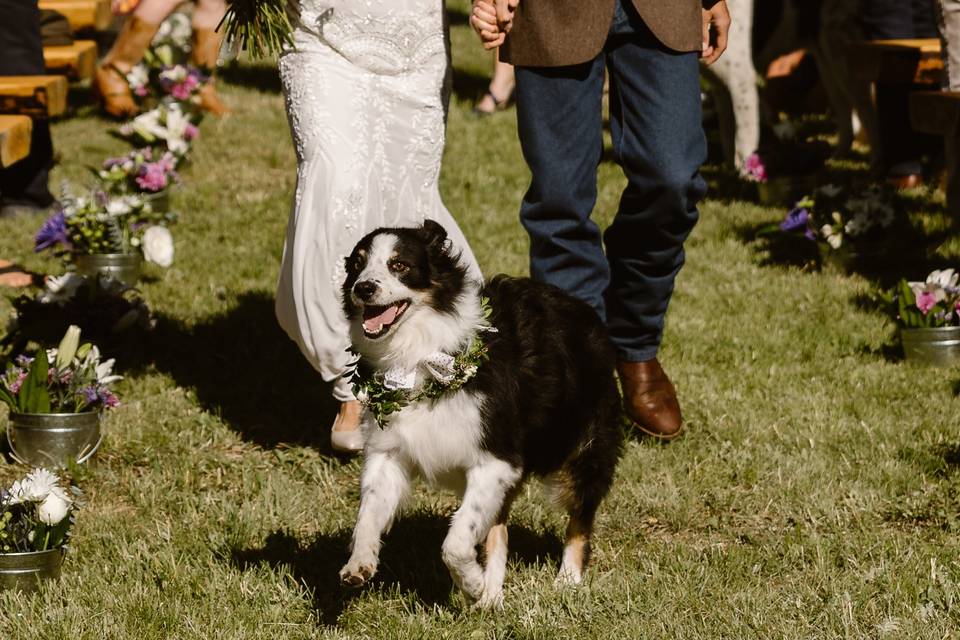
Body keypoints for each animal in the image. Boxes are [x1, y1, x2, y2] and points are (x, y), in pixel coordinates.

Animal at [338, 220, 624, 604]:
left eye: (399, 265)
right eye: (357, 264)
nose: (363, 288)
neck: (419, 354)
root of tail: (584, 309)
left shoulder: (496, 457)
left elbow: (456, 542)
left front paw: (471, 583)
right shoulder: (389, 450)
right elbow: (368, 513)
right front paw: (359, 563)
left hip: (586, 445)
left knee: (580, 515)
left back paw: (567, 579)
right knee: (498, 528)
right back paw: (492, 594)